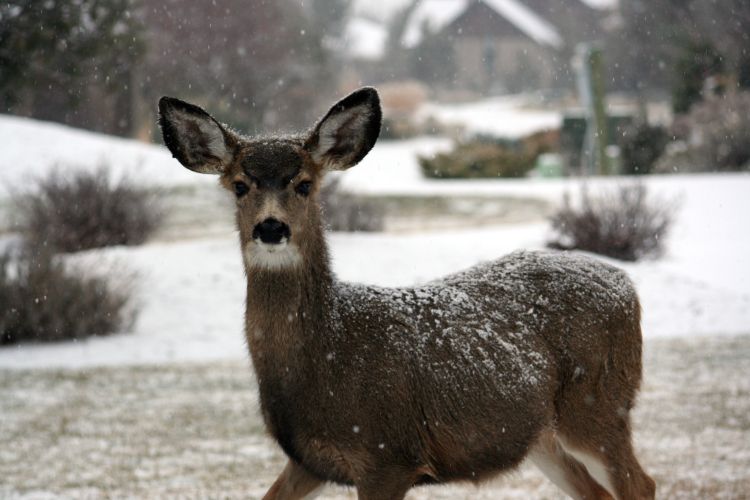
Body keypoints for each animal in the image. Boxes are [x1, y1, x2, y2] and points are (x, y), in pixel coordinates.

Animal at [158, 87, 655, 500]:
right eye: (240, 185)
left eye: (304, 184)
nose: (271, 228)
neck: (327, 353)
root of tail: (626, 284)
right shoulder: (310, 461)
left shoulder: (388, 454)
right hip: (540, 435)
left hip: (597, 404)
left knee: (640, 484)